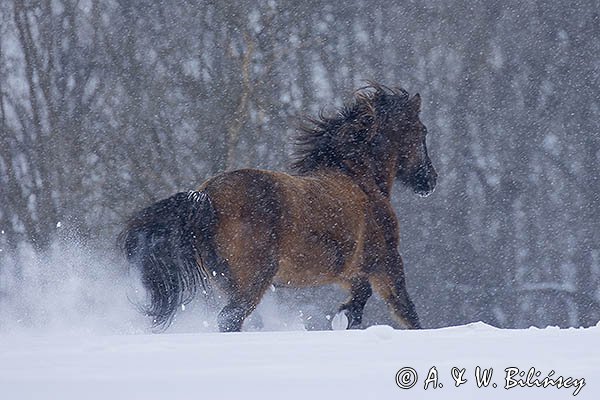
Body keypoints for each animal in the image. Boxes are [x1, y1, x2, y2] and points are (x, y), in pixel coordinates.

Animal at [118, 83, 436, 332]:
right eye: (422, 131)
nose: (430, 180)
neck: (359, 179)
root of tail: (205, 196)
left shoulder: (350, 271)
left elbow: (361, 295)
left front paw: (343, 318)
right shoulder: (386, 263)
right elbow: (406, 311)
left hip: (229, 282)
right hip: (254, 280)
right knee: (230, 319)